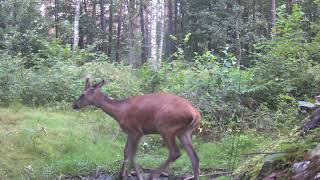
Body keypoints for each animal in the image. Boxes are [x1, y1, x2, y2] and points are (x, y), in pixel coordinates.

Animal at [72, 76, 200, 179]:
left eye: (83, 94)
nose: (74, 105)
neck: (119, 111)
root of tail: (195, 114)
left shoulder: (136, 131)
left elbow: (132, 155)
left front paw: (137, 176)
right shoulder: (129, 132)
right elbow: (126, 152)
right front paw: (121, 175)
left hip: (165, 127)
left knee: (175, 153)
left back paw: (153, 175)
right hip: (184, 132)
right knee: (194, 157)